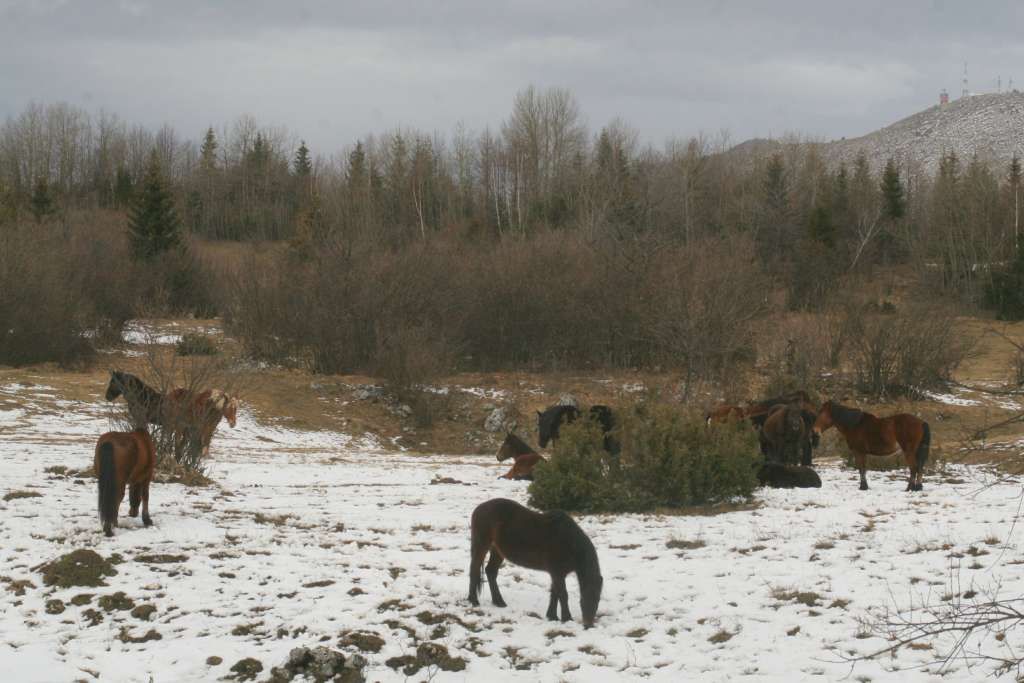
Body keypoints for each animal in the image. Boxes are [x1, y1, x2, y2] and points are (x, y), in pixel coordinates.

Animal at [468, 497, 602, 630]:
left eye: (597, 600)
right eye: (583, 599)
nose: (588, 625)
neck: (569, 543)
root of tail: (479, 508)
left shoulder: (557, 574)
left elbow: (555, 593)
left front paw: (552, 616)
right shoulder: (557, 573)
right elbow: (563, 594)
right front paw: (566, 618)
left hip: (498, 551)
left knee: (491, 571)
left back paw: (499, 602)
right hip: (482, 545)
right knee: (474, 569)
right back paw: (473, 601)